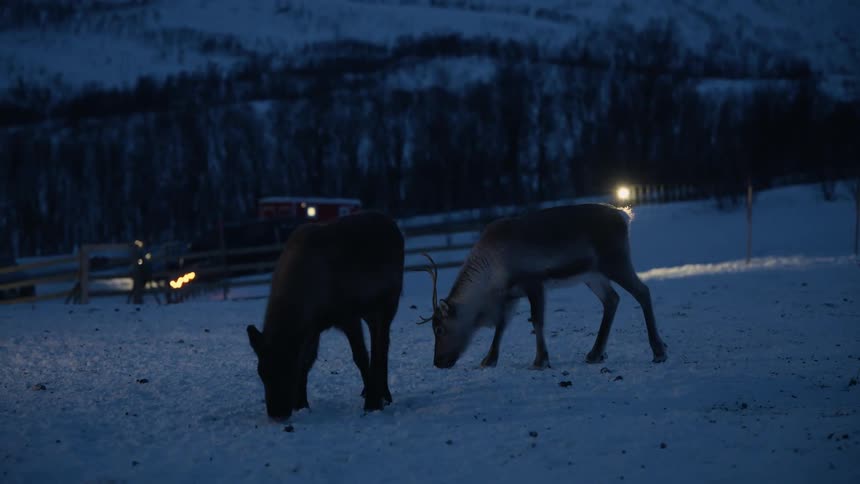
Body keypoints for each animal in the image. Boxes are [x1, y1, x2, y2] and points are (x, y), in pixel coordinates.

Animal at [246, 211, 404, 419]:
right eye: (261, 372)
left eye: (288, 369)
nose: (276, 413)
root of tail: (393, 224)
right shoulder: (313, 328)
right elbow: (307, 360)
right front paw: (301, 404)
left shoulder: (348, 315)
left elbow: (360, 357)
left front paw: (372, 403)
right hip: (370, 312)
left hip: (388, 303)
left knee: (382, 346)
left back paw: (383, 394)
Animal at [419, 203, 667, 369]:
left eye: (439, 329)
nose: (438, 361)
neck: (490, 277)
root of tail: (623, 216)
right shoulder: (510, 294)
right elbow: (501, 326)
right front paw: (489, 359)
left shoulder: (534, 283)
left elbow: (537, 321)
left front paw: (540, 360)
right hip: (592, 275)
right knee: (612, 299)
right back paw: (595, 353)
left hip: (615, 261)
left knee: (642, 291)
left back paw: (658, 351)